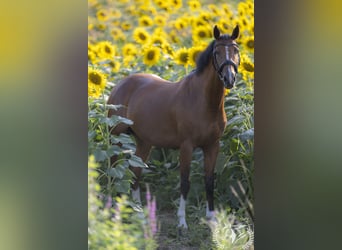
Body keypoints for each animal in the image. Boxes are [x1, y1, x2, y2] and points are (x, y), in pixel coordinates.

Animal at [108, 25, 239, 229]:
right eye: (216, 52)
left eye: (236, 50)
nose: (229, 79)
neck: (203, 101)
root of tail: (120, 84)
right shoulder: (186, 147)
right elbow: (185, 182)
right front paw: (182, 222)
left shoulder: (212, 145)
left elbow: (210, 181)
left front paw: (211, 219)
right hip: (116, 137)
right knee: (114, 168)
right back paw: (114, 208)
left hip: (144, 142)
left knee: (136, 171)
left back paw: (139, 211)